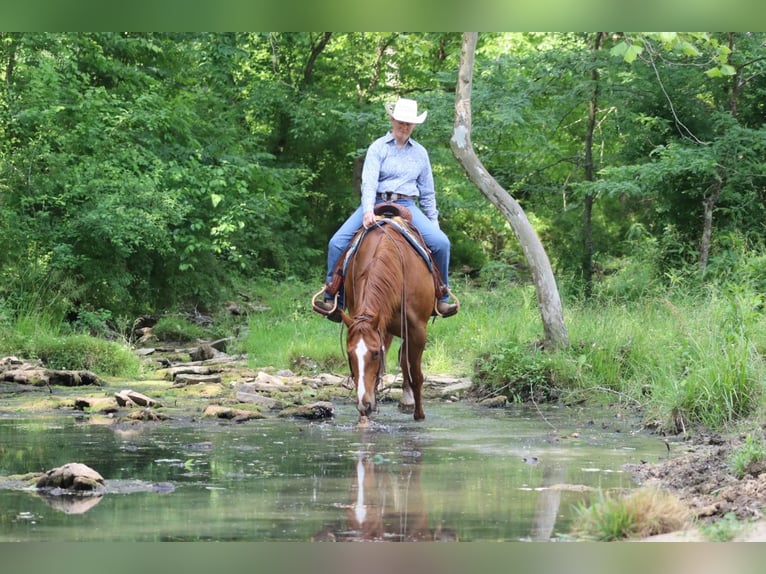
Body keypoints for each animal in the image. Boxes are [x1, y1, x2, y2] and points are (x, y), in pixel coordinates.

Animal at [340, 210, 438, 424]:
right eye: (350, 354)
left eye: (375, 353)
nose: (363, 404)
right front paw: (366, 414)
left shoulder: (418, 330)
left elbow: (416, 373)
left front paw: (419, 414)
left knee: (405, 358)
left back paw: (408, 400)